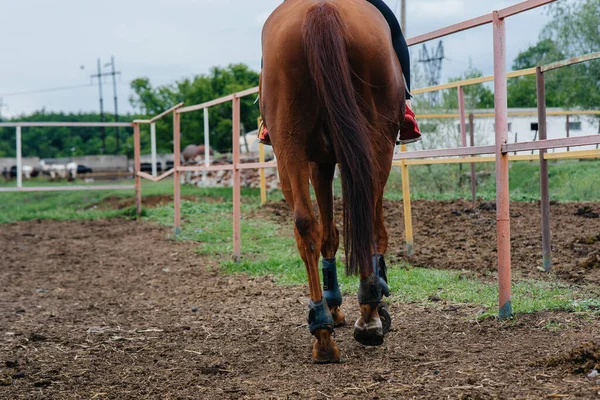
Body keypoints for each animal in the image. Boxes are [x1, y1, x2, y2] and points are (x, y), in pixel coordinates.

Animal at [260, 0, 406, 362]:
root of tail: (321, 9)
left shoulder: (319, 160)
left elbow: (327, 233)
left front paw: (334, 305)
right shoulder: (329, 159)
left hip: (290, 147)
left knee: (305, 225)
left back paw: (323, 329)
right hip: (375, 141)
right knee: (366, 220)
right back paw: (367, 315)